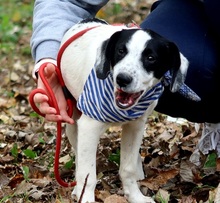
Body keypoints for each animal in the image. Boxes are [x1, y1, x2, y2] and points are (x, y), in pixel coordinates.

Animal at [58, 18, 189, 202]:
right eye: (120, 51)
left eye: (151, 58)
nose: (122, 79)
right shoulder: (89, 127)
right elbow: (87, 174)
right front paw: (85, 197)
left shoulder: (135, 127)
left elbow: (128, 169)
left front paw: (135, 196)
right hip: (73, 123)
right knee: (78, 156)